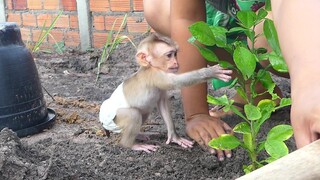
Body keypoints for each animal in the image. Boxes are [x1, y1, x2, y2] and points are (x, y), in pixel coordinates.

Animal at [99, 33, 231, 153]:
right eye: (169, 55)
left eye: (175, 54)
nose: (176, 62)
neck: (151, 67)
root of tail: (104, 123)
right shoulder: (155, 74)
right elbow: (176, 82)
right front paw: (210, 72)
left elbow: (162, 104)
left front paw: (174, 137)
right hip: (115, 118)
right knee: (134, 114)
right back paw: (131, 145)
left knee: (142, 113)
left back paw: (137, 136)